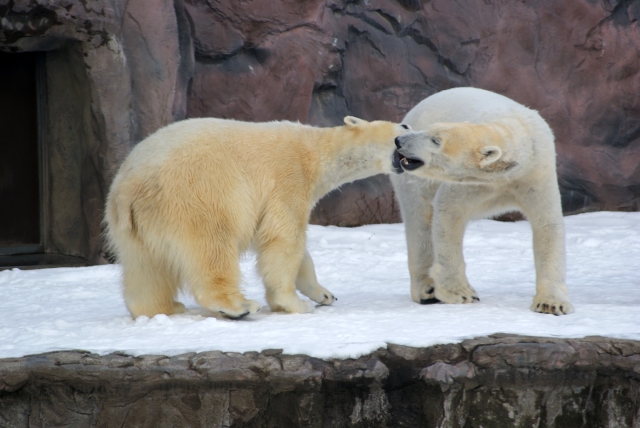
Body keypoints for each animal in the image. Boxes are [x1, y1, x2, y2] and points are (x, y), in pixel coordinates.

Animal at [102, 116, 408, 318]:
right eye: (405, 126)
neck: (315, 150)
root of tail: (129, 186)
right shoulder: (288, 179)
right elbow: (284, 238)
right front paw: (295, 304)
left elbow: (300, 253)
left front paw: (325, 294)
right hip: (194, 197)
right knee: (211, 247)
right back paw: (239, 306)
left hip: (133, 223)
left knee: (146, 267)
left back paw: (163, 308)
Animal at [392, 88, 572, 314]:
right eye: (429, 131)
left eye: (436, 140)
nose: (400, 140)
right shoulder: (472, 182)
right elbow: (449, 212)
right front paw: (460, 292)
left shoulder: (535, 172)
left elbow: (547, 225)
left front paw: (551, 303)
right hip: (415, 182)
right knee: (419, 221)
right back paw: (427, 291)